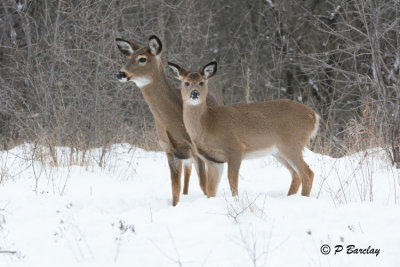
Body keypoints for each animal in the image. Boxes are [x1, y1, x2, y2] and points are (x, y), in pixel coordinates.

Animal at [115, 35, 225, 206]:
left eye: (142, 59)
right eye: (129, 57)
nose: (120, 74)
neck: (174, 121)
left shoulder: (196, 149)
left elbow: (204, 184)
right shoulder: (169, 150)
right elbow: (175, 188)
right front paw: (175, 206)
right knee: (188, 174)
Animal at [168, 61, 318, 198]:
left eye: (201, 82)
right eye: (186, 83)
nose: (194, 94)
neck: (209, 124)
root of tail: (314, 116)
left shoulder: (235, 148)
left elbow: (232, 181)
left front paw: (236, 200)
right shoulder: (213, 160)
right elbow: (211, 190)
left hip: (292, 144)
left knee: (307, 173)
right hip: (279, 151)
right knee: (296, 175)